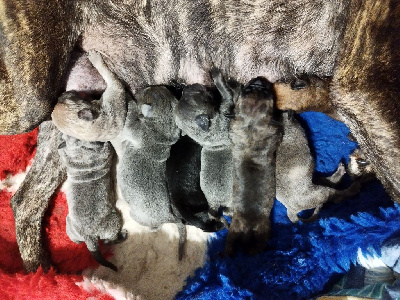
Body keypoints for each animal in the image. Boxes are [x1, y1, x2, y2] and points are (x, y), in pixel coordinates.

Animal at [57, 135, 125, 270]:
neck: (80, 152)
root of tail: (90, 238)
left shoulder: (69, 158)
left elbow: (63, 154)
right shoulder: (104, 153)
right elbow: (107, 148)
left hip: (70, 225)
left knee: (76, 239)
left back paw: (78, 242)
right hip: (113, 221)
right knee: (108, 241)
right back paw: (122, 236)